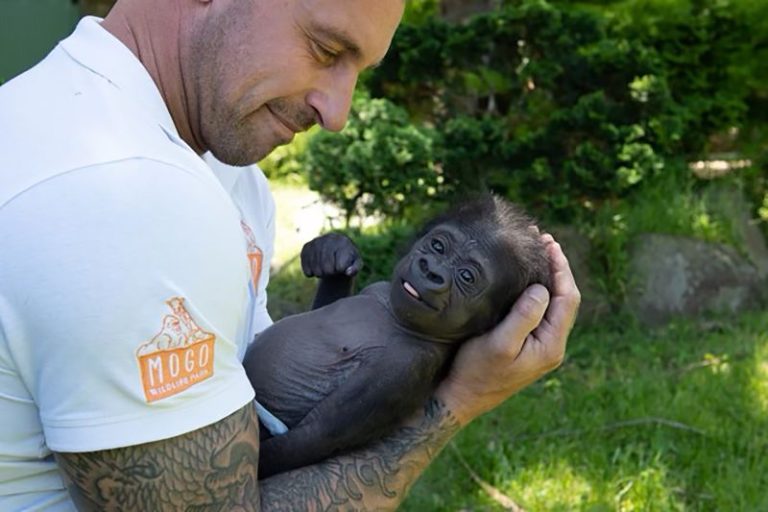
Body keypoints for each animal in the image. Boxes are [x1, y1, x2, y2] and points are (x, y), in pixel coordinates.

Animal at [243, 194, 551, 478]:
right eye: (438, 246)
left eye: (466, 276)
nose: (432, 271)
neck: (397, 318)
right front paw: (333, 256)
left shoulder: (407, 364)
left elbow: (316, 434)